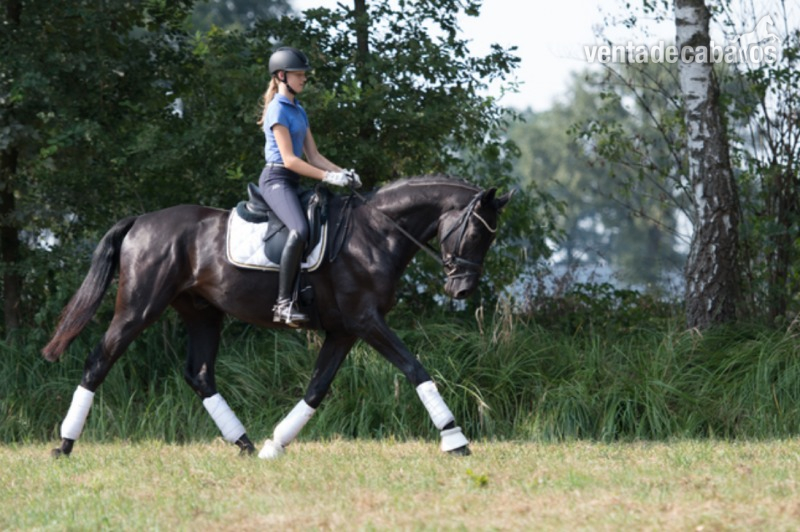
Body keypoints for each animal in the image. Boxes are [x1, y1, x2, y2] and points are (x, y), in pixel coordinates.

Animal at [42, 176, 512, 458]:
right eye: (475, 231)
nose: (461, 290)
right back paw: (64, 444)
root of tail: (141, 221)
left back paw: (246, 445)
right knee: (99, 361)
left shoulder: (344, 330)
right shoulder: (365, 321)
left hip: (202, 313)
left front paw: (276, 444)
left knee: (199, 375)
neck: (375, 234)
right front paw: (455, 438)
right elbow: (416, 369)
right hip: (138, 307)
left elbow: (317, 388)